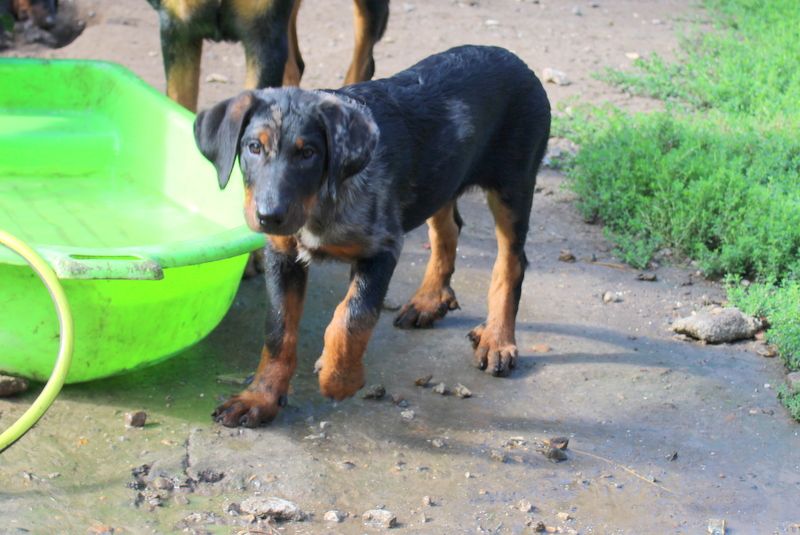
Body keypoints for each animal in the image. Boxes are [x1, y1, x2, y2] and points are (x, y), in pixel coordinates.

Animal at [195, 47, 552, 432]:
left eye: (308, 153)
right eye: (253, 147)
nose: (269, 216)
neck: (322, 204)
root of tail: (513, 58)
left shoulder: (381, 248)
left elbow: (352, 315)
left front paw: (338, 378)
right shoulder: (282, 256)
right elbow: (278, 329)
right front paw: (260, 398)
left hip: (513, 186)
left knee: (512, 261)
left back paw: (498, 339)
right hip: (441, 180)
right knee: (448, 230)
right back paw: (429, 300)